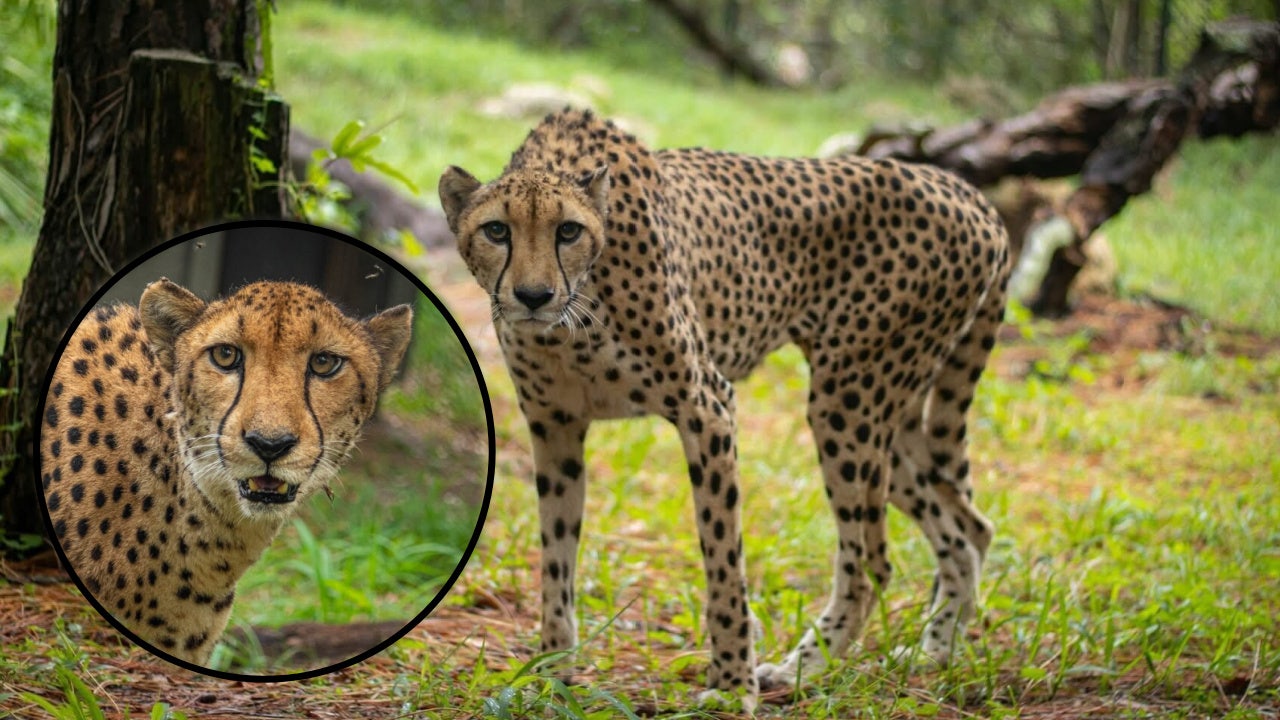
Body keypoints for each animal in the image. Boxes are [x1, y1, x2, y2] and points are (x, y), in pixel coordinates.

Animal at [439, 108, 1010, 710]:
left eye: (568, 230)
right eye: (496, 230)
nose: (533, 296)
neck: (574, 319)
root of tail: (966, 189)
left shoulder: (708, 408)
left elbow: (723, 561)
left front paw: (734, 686)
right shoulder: (556, 428)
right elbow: (556, 560)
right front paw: (552, 674)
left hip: (847, 403)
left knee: (872, 562)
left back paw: (804, 668)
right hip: (884, 418)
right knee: (968, 530)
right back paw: (935, 651)